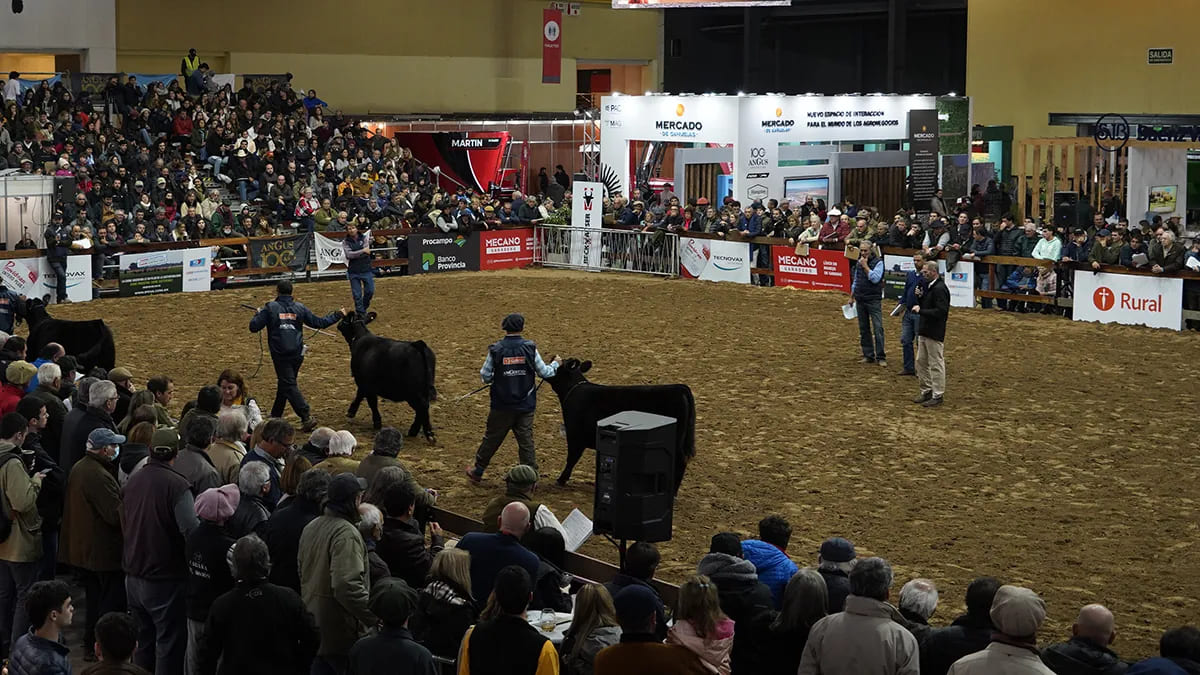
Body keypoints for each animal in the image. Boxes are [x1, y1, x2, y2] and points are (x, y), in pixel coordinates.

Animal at [338, 309, 436, 437]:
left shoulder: (365, 383)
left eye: (344, 320)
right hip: (423, 389)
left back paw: (426, 432)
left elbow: (371, 402)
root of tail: (418, 345)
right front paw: (352, 411)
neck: (361, 338)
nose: (338, 325)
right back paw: (414, 431)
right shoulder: (364, 384)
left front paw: (376, 422)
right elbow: (361, 395)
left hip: (413, 393)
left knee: (422, 407)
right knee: (423, 409)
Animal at [544, 357, 696, 487]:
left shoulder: (575, 435)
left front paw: (561, 479)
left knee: (679, 461)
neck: (574, 390)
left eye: (557, 364)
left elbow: (572, 458)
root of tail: (681, 388)